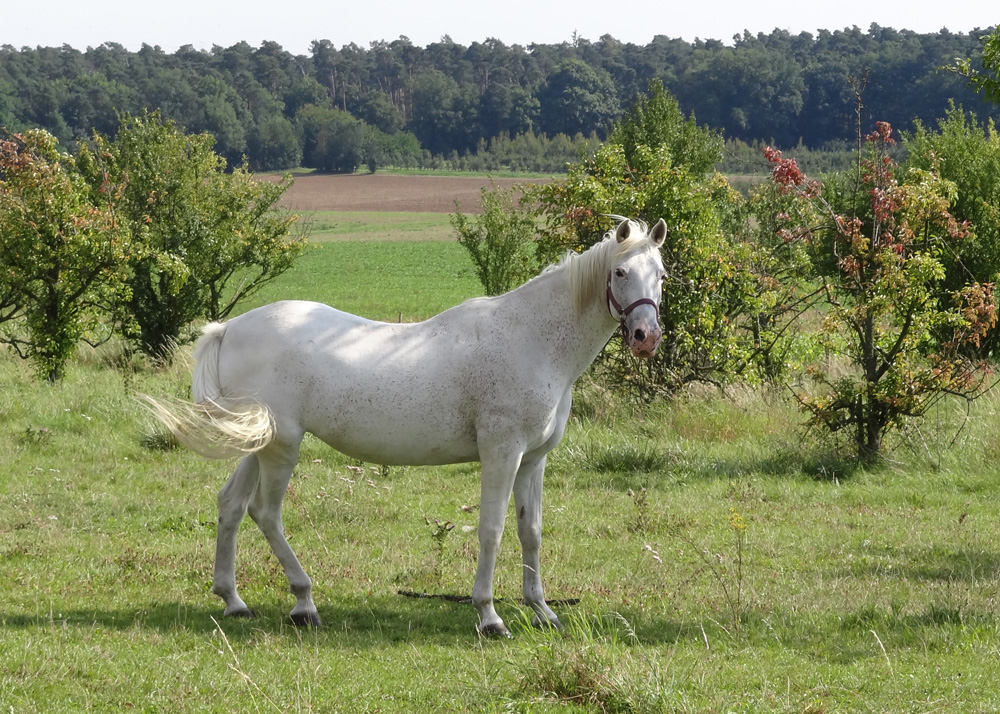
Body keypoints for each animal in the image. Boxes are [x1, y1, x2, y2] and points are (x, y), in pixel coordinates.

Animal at [146, 217, 664, 636]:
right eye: (620, 272)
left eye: (660, 274)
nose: (646, 337)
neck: (532, 338)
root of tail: (229, 328)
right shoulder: (502, 454)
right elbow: (492, 529)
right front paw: (489, 616)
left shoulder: (532, 460)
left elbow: (530, 531)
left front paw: (542, 612)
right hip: (282, 447)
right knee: (265, 512)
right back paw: (304, 604)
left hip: (260, 443)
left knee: (231, 505)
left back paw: (233, 601)